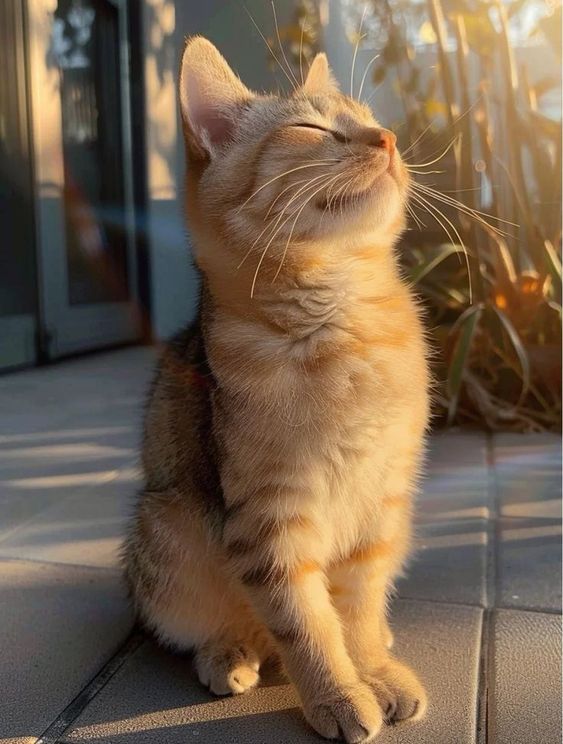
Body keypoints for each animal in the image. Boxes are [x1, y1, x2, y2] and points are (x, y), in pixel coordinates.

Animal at [123, 36, 430, 744]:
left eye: (368, 117)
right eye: (314, 129)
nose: (387, 138)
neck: (341, 323)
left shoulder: (380, 508)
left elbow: (358, 608)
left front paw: (373, 669)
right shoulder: (269, 518)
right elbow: (306, 624)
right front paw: (338, 694)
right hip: (167, 528)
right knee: (219, 628)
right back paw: (230, 652)